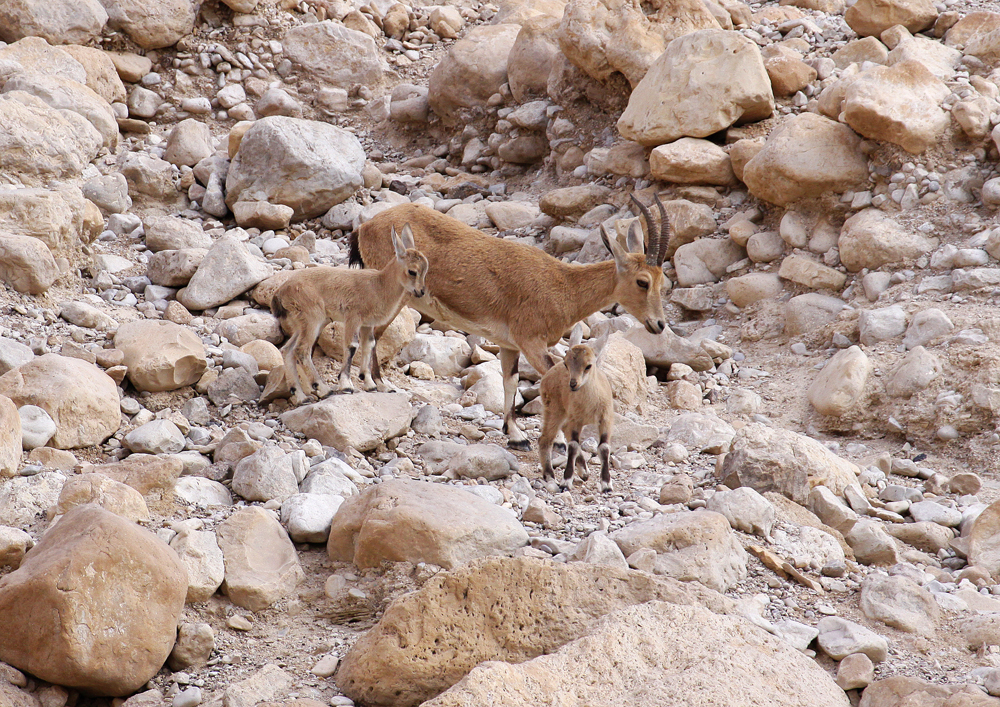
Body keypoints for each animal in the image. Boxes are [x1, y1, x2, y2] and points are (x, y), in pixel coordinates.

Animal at [270, 227, 426, 404]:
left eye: (425, 269)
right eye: (412, 271)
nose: (421, 291)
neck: (378, 286)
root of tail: (280, 293)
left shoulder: (367, 324)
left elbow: (369, 345)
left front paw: (370, 384)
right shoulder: (353, 318)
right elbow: (352, 346)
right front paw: (346, 385)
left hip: (303, 323)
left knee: (287, 350)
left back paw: (301, 396)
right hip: (312, 319)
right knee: (302, 350)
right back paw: (323, 389)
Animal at [536, 334, 612, 496]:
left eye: (588, 365)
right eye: (567, 363)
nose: (573, 384)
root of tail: (549, 373)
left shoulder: (606, 420)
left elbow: (603, 448)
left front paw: (606, 485)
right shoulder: (576, 420)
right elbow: (573, 446)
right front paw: (565, 482)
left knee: (563, 432)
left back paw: (584, 472)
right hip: (554, 410)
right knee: (545, 439)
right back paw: (550, 475)